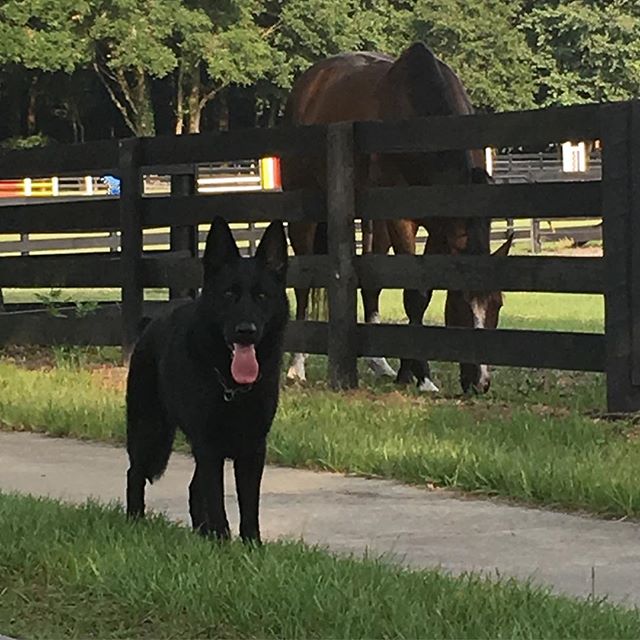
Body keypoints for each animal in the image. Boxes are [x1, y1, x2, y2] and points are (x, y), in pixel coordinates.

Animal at [125, 218, 290, 544]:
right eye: (228, 294)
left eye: (262, 296)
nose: (246, 331)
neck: (230, 386)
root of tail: (149, 325)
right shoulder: (208, 445)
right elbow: (216, 500)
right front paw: (222, 542)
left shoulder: (253, 447)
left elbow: (248, 503)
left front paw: (251, 546)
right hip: (150, 432)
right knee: (135, 473)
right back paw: (135, 521)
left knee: (192, 487)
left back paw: (201, 533)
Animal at [282, 42, 512, 392]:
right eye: (460, 302)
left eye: (497, 304)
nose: (480, 383)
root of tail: (308, 85)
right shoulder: (402, 217)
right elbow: (413, 292)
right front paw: (421, 375)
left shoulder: (439, 227)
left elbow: (422, 292)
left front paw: (410, 371)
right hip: (304, 210)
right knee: (304, 284)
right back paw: (297, 366)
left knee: (370, 282)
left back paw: (380, 362)